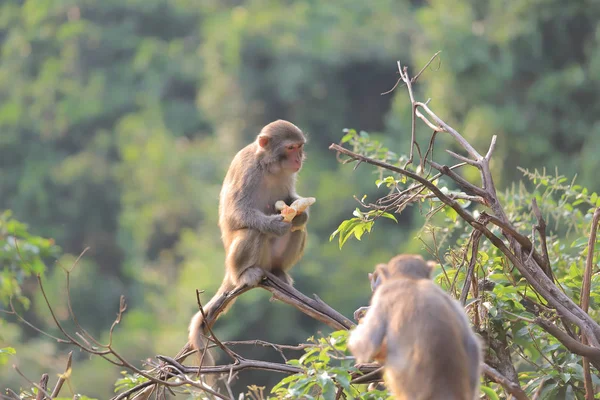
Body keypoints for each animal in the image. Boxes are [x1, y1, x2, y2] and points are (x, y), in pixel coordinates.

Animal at [189, 119, 314, 360]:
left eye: (299, 147)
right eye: (290, 148)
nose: (298, 159)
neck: (269, 166)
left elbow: (291, 203)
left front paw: (300, 214)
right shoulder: (248, 171)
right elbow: (235, 212)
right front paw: (274, 225)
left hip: (272, 259)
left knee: (297, 230)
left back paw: (279, 270)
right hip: (244, 261)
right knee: (252, 231)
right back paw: (244, 275)